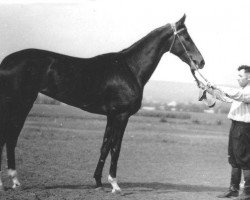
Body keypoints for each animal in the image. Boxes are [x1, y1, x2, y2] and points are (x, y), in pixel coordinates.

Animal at [0, 14, 204, 192]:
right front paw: (114, 184)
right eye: (186, 37)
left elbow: (105, 146)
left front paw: (98, 182)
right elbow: (116, 148)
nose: (200, 61)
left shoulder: (111, 115)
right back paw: (10, 182)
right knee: (8, 137)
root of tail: (6, 62)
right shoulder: (121, 115)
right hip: (20, 104)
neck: (130, 67)